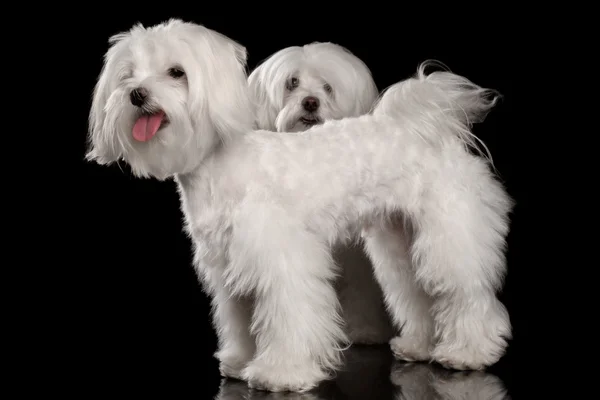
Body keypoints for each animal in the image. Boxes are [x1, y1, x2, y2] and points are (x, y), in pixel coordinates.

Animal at [248, 42, 394, 346]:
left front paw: (364, 330)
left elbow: (359, 287)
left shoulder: (353, 256)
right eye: (292, 82)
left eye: (328, 87)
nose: (310, 102)